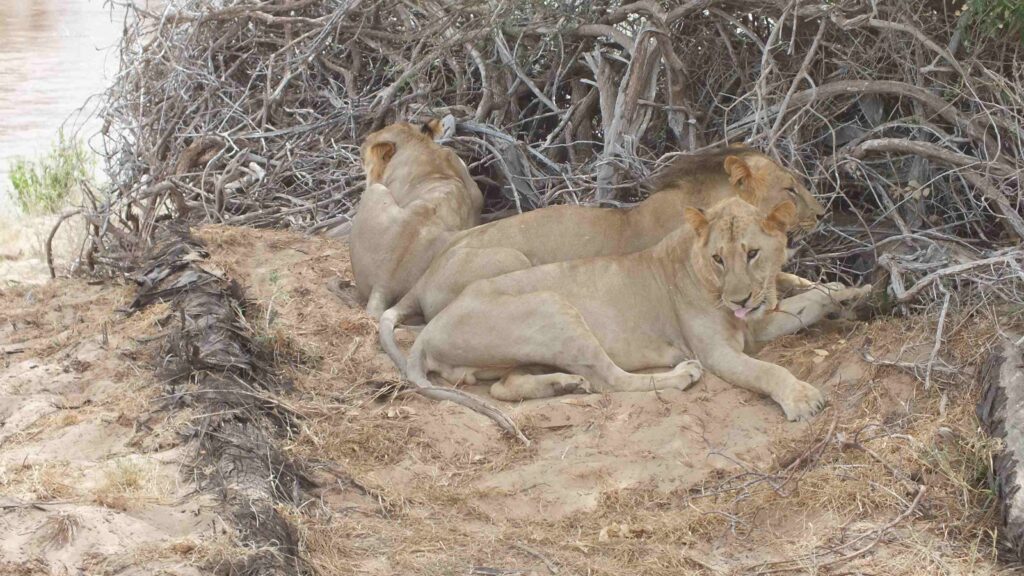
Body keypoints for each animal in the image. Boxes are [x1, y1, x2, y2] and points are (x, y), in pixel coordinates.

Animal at [400, 197, 869, 422]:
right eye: (719, 258)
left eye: (752, 253)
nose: (738, 301)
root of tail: (429, 329)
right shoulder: (719, 351)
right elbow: (767, 371)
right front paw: (801, 398)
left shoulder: (754, 326)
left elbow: (806, 302)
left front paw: (849, 292)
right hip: (554, 305)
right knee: (611, 379)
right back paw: (680, 375)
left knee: (506, 387)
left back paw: (565, 385)